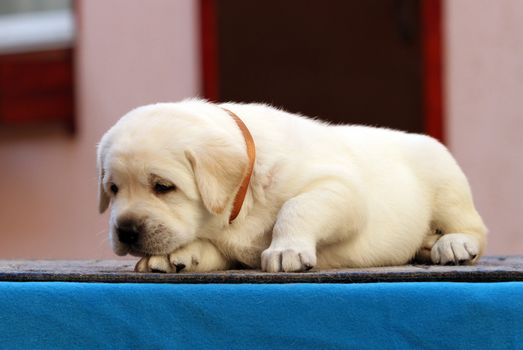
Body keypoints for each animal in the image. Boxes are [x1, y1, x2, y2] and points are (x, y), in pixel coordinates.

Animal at [98, 100, 488, 272]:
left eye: (163, 187)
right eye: (113, 189)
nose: (126, 231)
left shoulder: (339, 189)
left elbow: (297, 207)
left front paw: (286, 250)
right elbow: (211, 249)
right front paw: (174, 255)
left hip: (446, 182)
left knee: (475, 228)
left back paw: (451, 244)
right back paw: (426, 244)